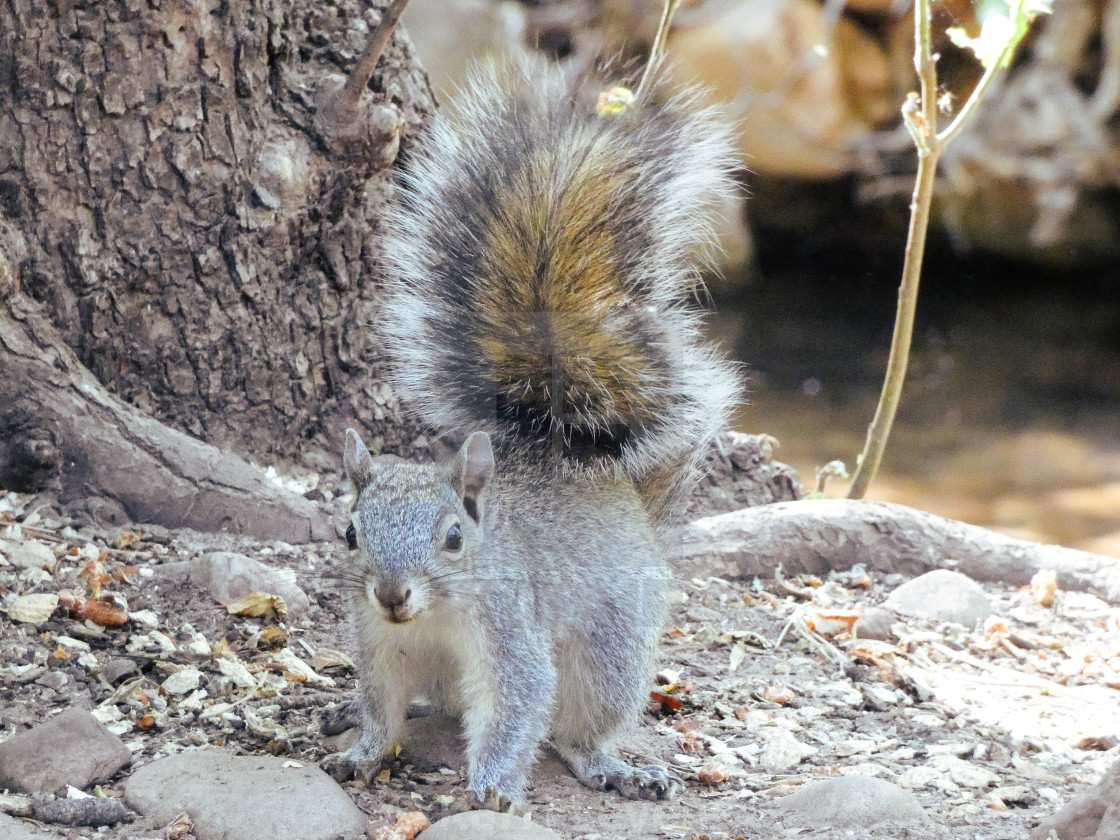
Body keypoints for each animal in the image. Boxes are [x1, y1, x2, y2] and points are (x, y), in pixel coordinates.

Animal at [340, 57, 743, 810]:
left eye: (454, 537)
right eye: (350, 533)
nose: (391, 594)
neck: (433, 617)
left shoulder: (510, 631)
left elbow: (519, 704)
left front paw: (494, 787)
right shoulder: (380, 646)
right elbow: (380, 707)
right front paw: (362, 749)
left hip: (611, 649)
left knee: (581, 726)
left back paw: (609, 764)